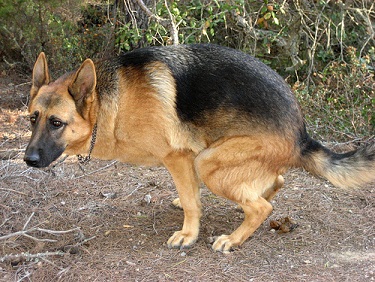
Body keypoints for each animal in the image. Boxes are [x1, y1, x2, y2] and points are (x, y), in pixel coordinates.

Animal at [24, 44, 375, 253]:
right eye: (33, 118)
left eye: (56, 123)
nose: (28, 159)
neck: (115, 102)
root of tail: (301, 134)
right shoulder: (186, 160)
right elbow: (191, 195)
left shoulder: (178, 157)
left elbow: (193, 205)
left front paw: (188, 235)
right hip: (217, 162)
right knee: (276, 181)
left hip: (209, 162)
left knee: (263, 207)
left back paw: (233, 238)